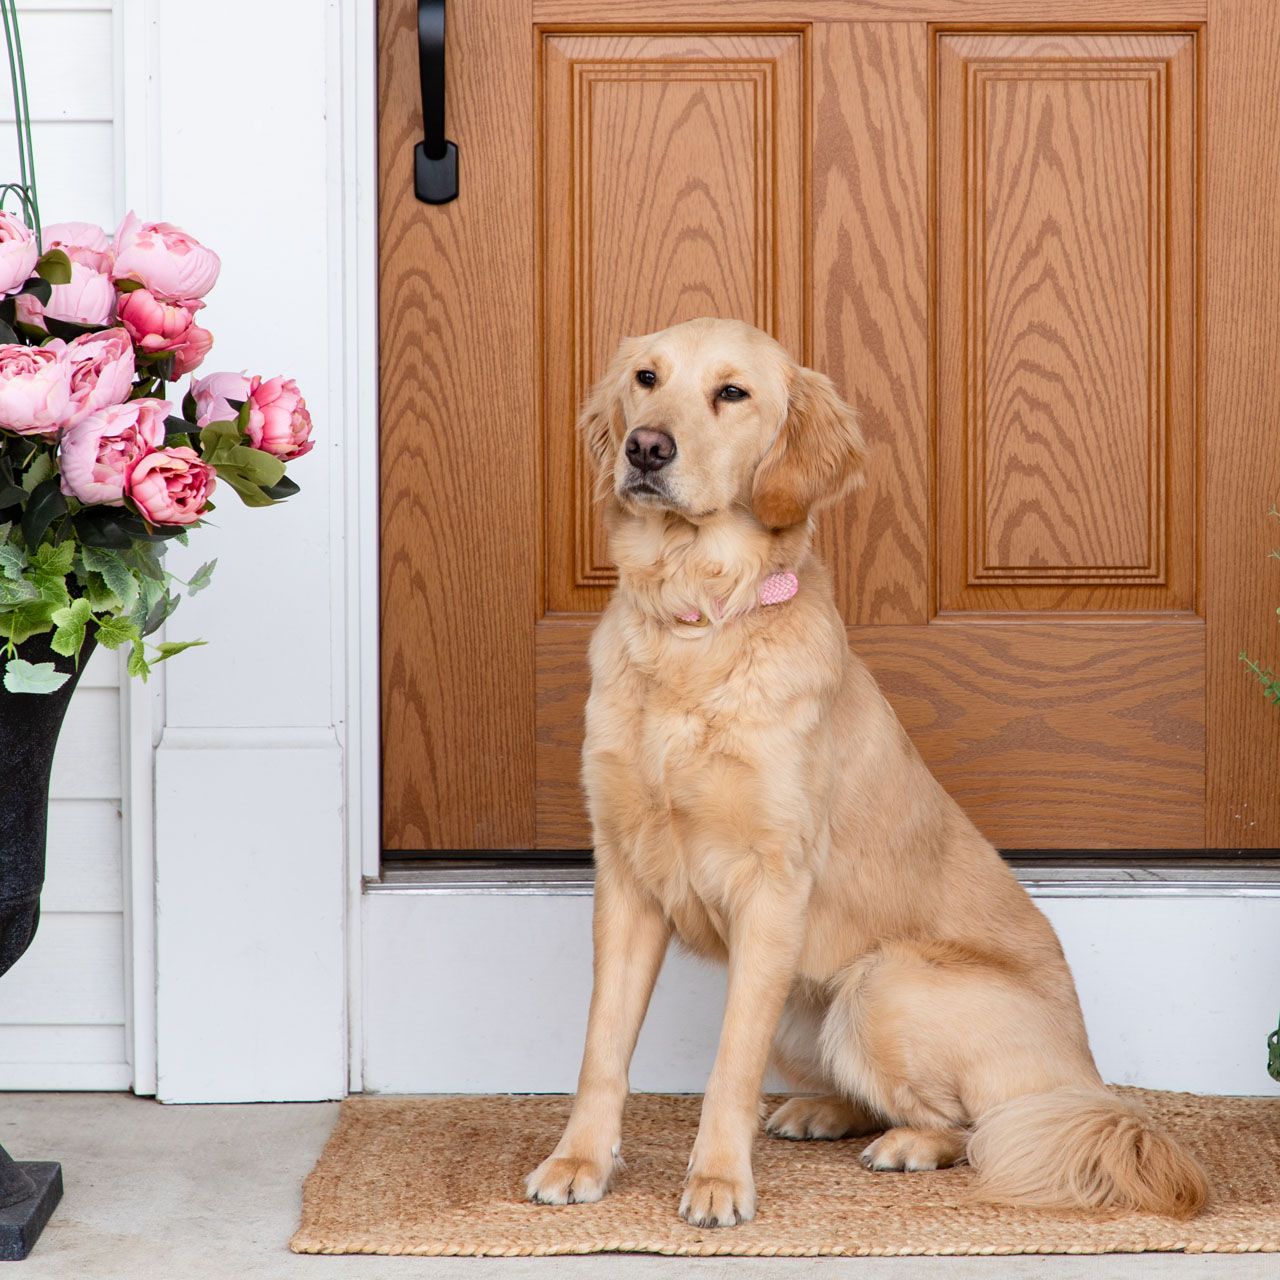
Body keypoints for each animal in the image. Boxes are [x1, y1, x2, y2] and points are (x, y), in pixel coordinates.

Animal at [524, 314, 1203, 1223]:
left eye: (731, 392)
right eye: (646, 378)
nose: (645, 448)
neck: (698, 620)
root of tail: (1090, 1079)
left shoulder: (772, 884)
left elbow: (729, 1064)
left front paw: (717, 1180)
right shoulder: (627, 878)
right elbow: (601, 1047)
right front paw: (580, 1161)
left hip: (882, 984)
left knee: (976, 1129)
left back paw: (908, 1145)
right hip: (808, 1005)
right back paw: (821, 1110)